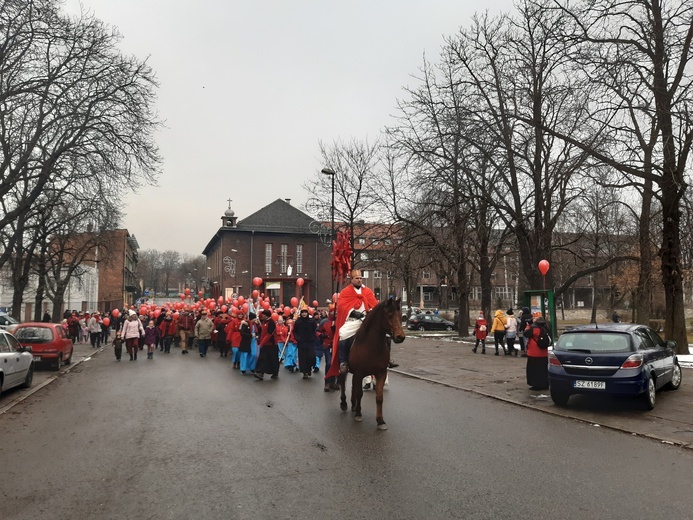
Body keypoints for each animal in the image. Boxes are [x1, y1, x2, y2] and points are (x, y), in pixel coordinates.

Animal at [336, 296, 406, 430]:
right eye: (389, 315)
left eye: (400, 316)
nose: (400, 337)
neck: (372, 346)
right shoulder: (359, 373)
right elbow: (359, 393)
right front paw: (358, 414)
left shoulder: (381, 373)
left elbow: (379, 397)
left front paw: (380, 421)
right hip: (343, 368)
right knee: (342, 383)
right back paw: (343, 403)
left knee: (352, 386)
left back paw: (353, 405)